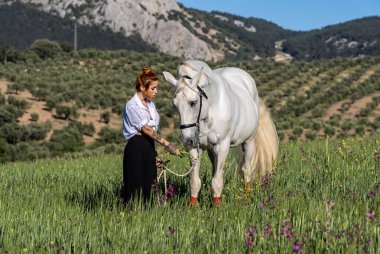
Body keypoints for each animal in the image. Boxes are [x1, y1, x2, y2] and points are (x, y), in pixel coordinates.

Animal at [162, 60, 278, 206]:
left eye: (193, 102)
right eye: (175, 104)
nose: (188, 141)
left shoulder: (222, 146)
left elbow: (217, 181)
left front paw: (217, 206)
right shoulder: (196, 149)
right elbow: (195, 182)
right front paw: (192, 208)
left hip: (249, 142)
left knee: (246, 169)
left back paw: (247, 196)